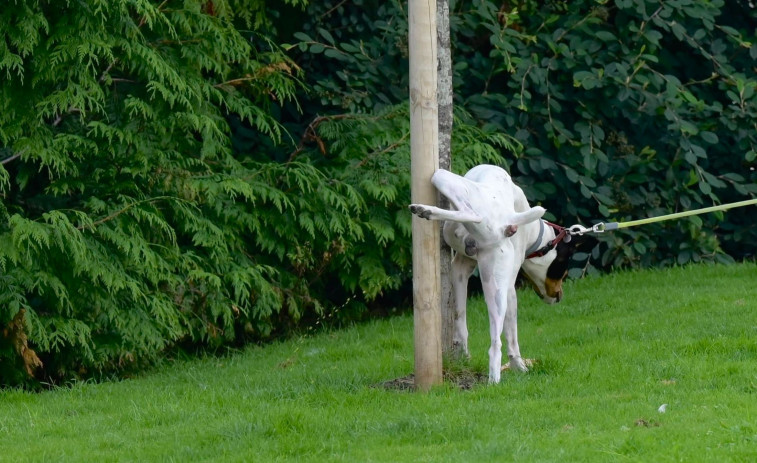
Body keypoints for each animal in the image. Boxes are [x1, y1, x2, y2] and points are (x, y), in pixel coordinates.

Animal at [410, 166, 592, 384]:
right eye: (563, 272)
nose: (559, 297)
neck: (534, 233)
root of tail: (506, 220)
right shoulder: (464, 270)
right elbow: (464, 319)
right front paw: (467, 354)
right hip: (495, 287)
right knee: (496, 339)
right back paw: (494, 377)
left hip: (443, 176)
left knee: (473, 214)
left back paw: (426, 210)